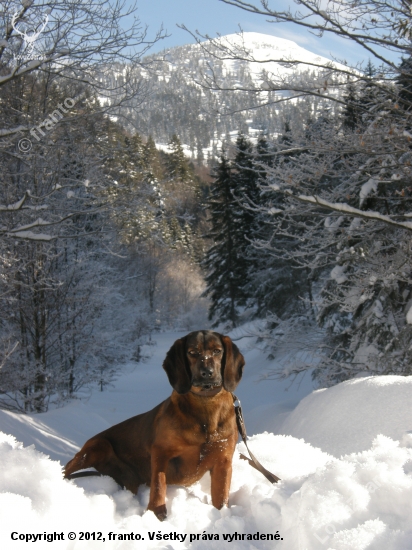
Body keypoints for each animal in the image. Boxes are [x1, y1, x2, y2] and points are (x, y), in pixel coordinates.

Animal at [64, 332, 245, 520]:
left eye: (217, 351)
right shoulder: (160, 451)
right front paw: (156, 513)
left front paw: (222, 515)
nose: (207, 373)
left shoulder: (223, 461)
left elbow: (221, 497)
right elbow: (159, 484)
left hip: (127, 478)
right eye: (192, 352)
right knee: (67, 469)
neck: (206, 406)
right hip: (98, 446)